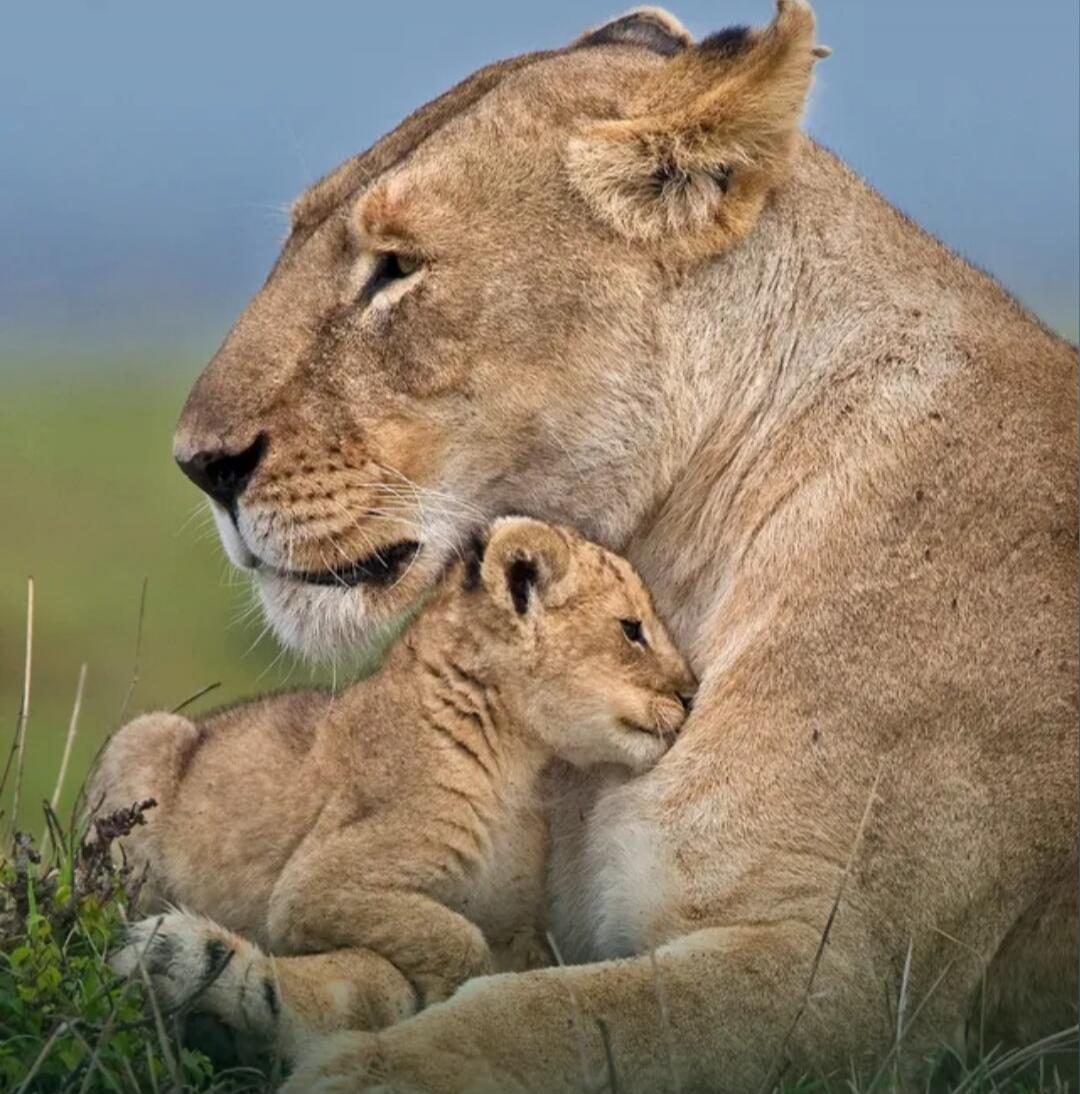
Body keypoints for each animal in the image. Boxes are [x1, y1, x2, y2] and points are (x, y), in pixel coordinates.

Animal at [96, 517, 694, 1058]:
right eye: (631, 629)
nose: (692, 694)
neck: (515, 761)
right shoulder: (317, 885)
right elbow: (451, 937)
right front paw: (445, 1003)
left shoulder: (516, 923)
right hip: (142, 738)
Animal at [159, 0, 1076, 1088]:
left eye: (396, 266)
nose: (199, 463)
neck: (680, 555)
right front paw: (204, 968)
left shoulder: (850, 986)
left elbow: (544, 1020)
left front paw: (361, 1068)